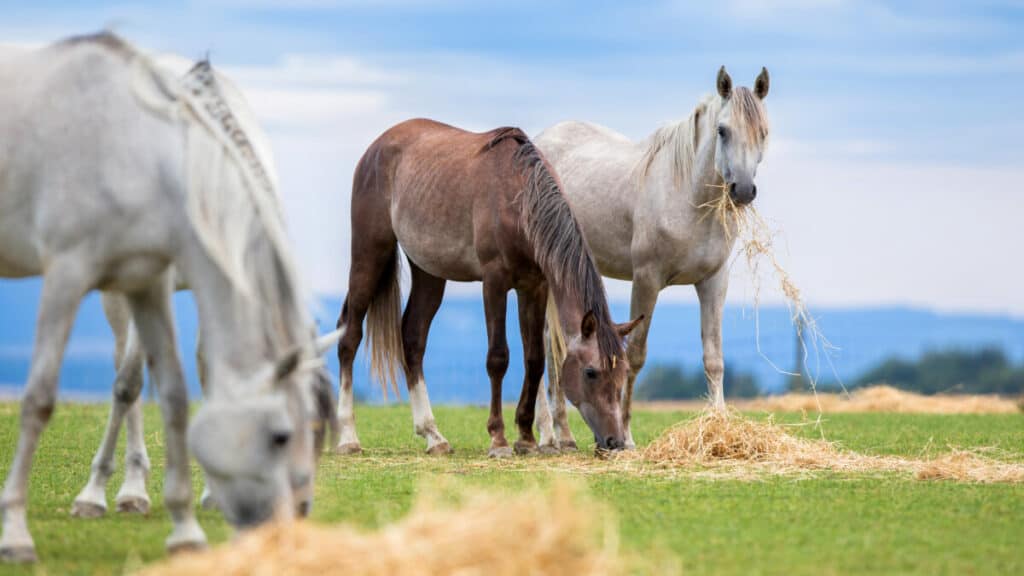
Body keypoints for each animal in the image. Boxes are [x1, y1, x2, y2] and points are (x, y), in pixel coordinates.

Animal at [0, 32, 335, 561]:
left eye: (321, 429)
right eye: (285, 434)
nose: (298, 511)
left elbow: (199, 378)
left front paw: (208, 494)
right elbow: (129, 384)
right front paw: (104, 493)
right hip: (114, 294)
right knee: (127, 380)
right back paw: (120, 491)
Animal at [335, 118, 638, 455]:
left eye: (623, 372)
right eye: (590, 372)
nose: (615, 442)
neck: (519, 199)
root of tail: (377, 147)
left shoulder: (534, 287)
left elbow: (534, 359)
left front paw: (526, 438)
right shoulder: (494, 283)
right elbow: (498, 357)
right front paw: (499, 439)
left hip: (429, 272)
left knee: (413, 338)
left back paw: (433, 436)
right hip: (370, 252)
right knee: (349, 334)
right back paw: (348, 438)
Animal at [536, 67, 770, 448]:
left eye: (763, 132)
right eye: (722, 130)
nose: (744, 190)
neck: (686, 194)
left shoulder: (713, 282)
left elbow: (714, 358)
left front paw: (719, 426)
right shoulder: (647, 280)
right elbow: (634, 356)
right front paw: (627, 436)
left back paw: (562, 434)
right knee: (544, 348)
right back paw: (548, 434)